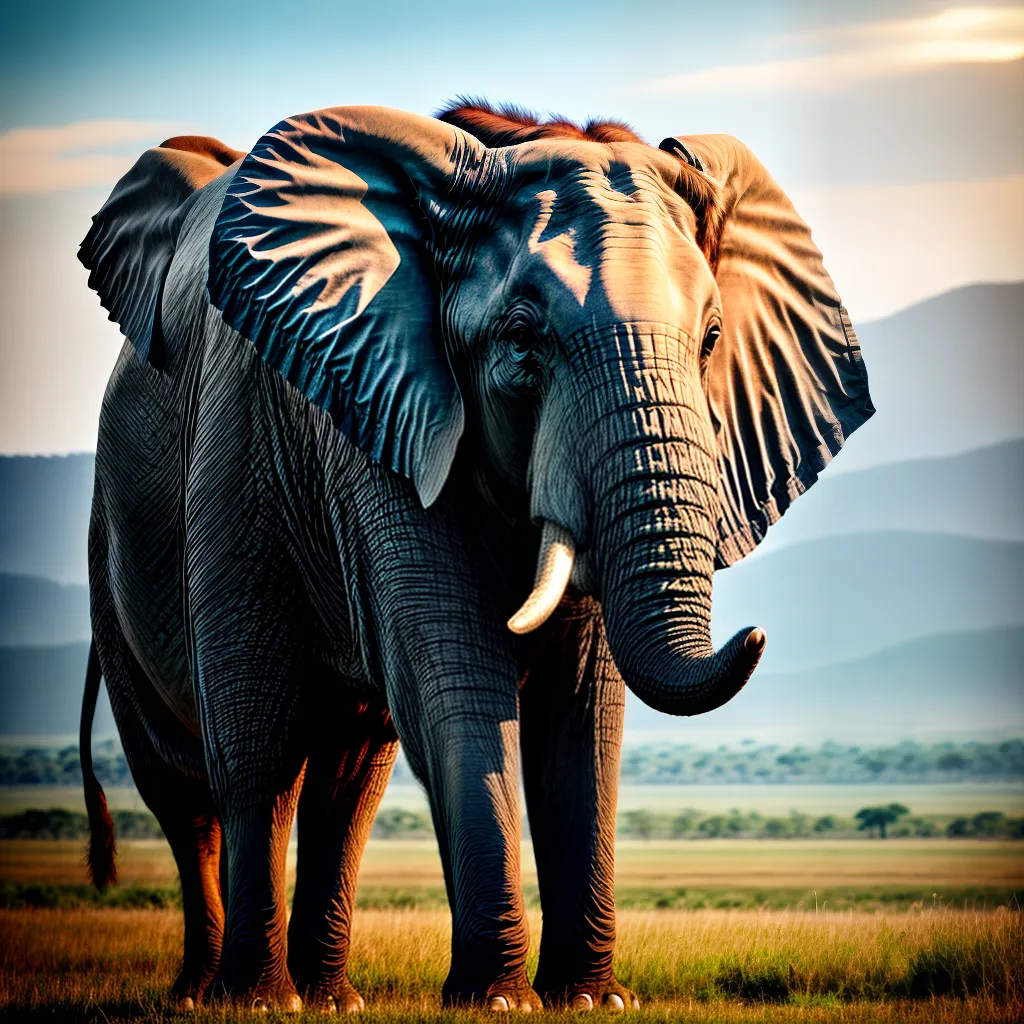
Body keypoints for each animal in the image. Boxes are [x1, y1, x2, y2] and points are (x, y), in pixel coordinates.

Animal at [78, 100, 873, 1012]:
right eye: (523, 341)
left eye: (711, 339)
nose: (755, 636)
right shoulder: (379, 409)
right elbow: (452, 672)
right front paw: (497, 1001)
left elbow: (582, 706)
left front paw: (591, 1001)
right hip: (137, 527)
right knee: (223, 768)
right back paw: (236, 999)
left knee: (347, 777)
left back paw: (328, 1000)